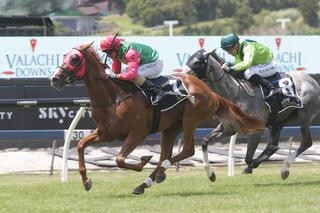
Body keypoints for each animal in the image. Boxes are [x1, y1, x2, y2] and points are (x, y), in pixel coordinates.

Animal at [51, 42, 264, 193]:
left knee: (186, 150)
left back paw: (151, 179)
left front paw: (143, 160)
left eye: (75, 59)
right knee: (166, 155)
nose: (55, 78)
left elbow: (120, 159)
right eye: (65, 56)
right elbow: (81, 145)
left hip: (190, 119)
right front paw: (86, 181)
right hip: (170, 128)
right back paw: (149, 181)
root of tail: (209, 92)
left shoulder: (137, 134)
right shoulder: (106, 133)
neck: (113, 98)